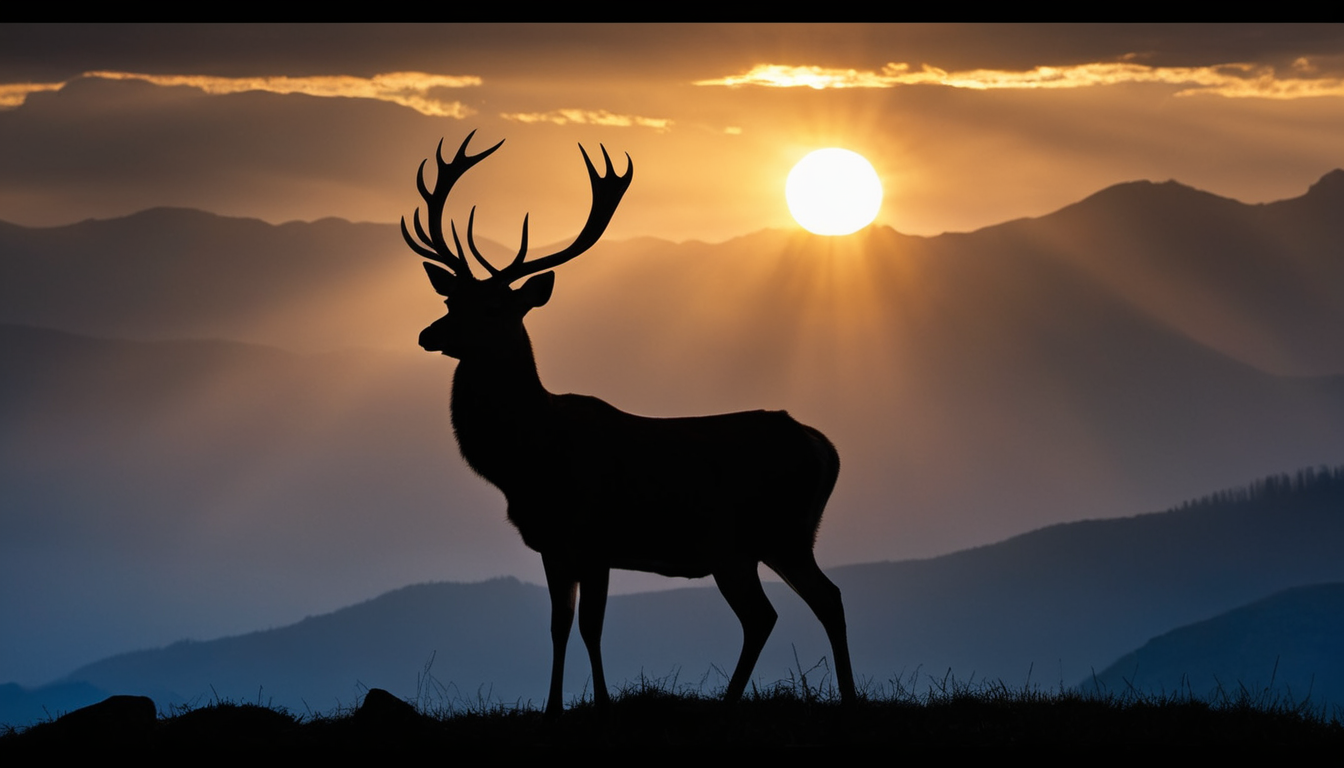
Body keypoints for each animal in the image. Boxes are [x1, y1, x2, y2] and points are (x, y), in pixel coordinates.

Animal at [402, 132, 857, 716]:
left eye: (493, 309)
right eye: (450, 298)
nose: (427, 334)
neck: (526, 459)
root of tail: (824, 448)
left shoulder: (592, 536)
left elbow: (589, 628)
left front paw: (596, 703)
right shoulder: (556, 545)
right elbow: (560, 627)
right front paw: (555, 707)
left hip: (752, 538)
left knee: (770, 613)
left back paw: (738, 701)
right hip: (779, 539)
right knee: (823, 599)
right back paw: (841, 697)